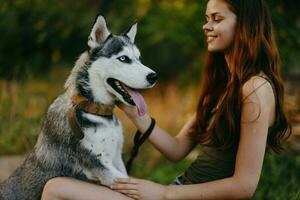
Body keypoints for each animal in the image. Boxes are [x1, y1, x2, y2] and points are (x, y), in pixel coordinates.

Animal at [0, 14, 158, 199]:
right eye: (123, 58)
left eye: (138, 58)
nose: (154, 76)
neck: (94, 109)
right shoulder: (101, 166)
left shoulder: (117, 159)